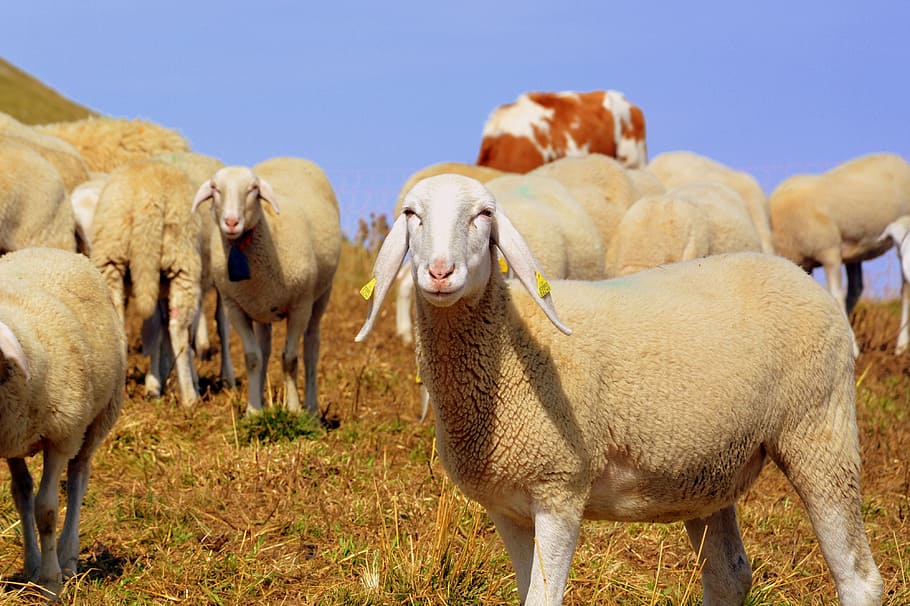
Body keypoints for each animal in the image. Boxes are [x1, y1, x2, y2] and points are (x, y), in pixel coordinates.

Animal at [0, 247, 126, 595]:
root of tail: (50, 249)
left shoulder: (61, 436)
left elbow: (47, 508)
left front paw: (50, 582)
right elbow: (25, 498)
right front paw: (36, 570)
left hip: (96, 420)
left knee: (78, 478)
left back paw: (68, 558)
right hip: (17, 439)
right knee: (21, 492)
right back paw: (31, 564)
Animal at [91, 159, 203, 407]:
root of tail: (146, 197)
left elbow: (158, 329)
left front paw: (156, 383)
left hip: (110, 258)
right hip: (182, 263)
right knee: (178, 328)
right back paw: (190, 398)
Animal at [192, 157, 342, 416]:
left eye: (253, 188)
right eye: (214, 188)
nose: (231, 222)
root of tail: (291, 157)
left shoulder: (300, 305)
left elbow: (290, 359)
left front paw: (293, 409)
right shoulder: (235, 307)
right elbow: (253, 358)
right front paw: (253, 411)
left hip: (321, 294)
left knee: (311, 348)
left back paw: (312, 409)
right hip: (262, 309)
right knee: (265, 349)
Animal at [769, 152, 910, 317]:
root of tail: (897, 159)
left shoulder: (830, 252)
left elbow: (836, 295)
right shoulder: (806, 264)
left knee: (905, 290)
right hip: (856, 250)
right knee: (856, 289)